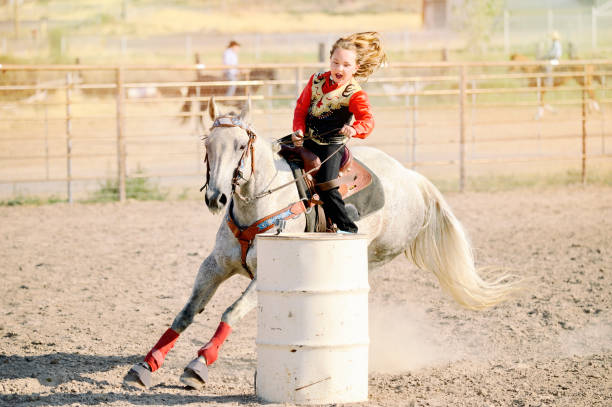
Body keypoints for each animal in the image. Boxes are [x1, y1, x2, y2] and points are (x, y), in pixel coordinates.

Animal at [124, 97, 520, 390]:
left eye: (239, 145)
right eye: (207, 144)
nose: (216, 198)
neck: (261, 200)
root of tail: (412, 178)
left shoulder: (263, 277)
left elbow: (230, 312)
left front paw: (198, 365)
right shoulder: (215, 265)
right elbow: (187, 312)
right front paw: (146, 365)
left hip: (371, 254)